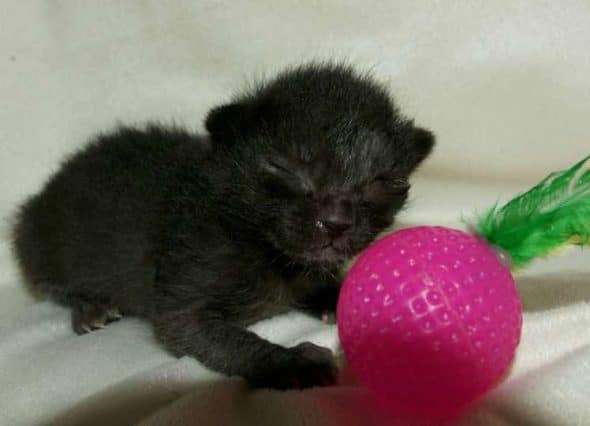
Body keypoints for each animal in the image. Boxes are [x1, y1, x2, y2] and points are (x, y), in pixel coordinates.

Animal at [9, 63, 434, 390]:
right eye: (285, 168)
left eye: (382, 182)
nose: (337, 222)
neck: (268, 251)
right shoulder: (182, 297)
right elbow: (225, 340)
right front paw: (292, 362)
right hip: (44, 242)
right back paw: (90, 306)